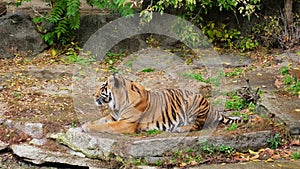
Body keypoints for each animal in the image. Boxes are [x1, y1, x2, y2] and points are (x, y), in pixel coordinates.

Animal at [81, 73, 244, 134]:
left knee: (198, 126)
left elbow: (104, 126)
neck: (117, 104)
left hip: (195, 103)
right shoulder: (114, 118)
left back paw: (181, 129)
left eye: (102, 87)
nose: (93, 94)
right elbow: (100, 120)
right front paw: (85, 125)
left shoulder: (125, 123)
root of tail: (212, 108)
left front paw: (87, 128)